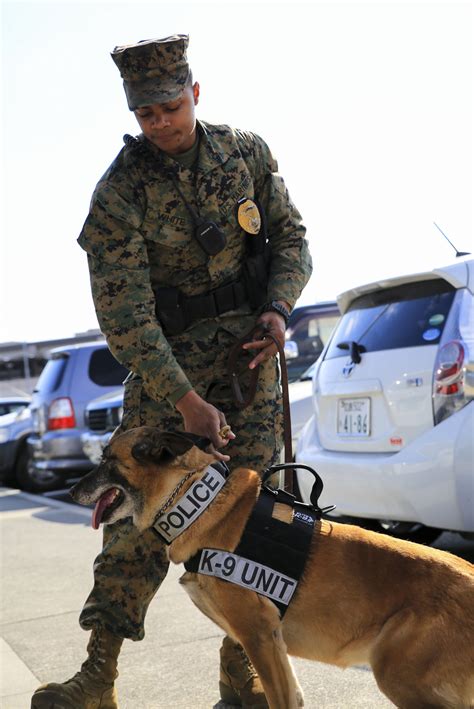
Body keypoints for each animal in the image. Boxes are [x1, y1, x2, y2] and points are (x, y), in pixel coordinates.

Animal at [70, 426, 474, 708]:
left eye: (107, 460)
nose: (72, 491)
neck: (199, 505)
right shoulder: (272, 645)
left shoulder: (259, 636)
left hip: (398, 676)